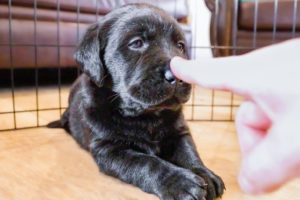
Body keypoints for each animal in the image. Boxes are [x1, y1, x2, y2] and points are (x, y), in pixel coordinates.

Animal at [48, 3, 224, 200]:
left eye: (180, 46)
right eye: (137, 43)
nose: (179, 77)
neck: (146, 115)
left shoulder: (179, 132)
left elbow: (189, 152)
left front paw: (204, 174)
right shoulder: (108, 149)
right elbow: (145, 162)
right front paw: (179, 182)